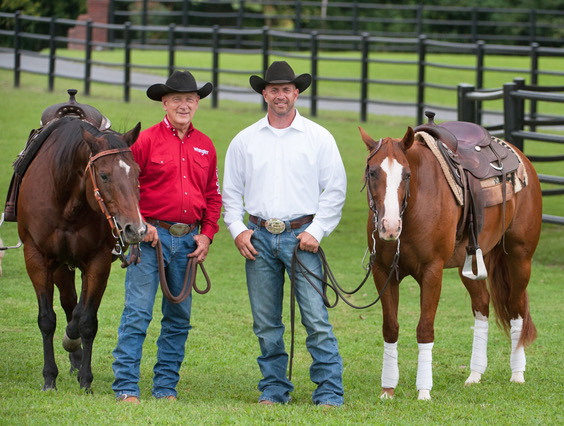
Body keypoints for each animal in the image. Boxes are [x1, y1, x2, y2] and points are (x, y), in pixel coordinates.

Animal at [18, 115, 148, 392]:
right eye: (104, 175)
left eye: (137, 173)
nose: (135, 228)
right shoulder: (37, 258)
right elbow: (47, 319)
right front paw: (49, 378)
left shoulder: (98, 262)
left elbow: (87, 321)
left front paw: (86, 380)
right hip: (59, 266)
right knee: (69, 301)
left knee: (77, 308)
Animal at [362, 123, 540, 400]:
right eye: (372, 173)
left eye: (406, 175)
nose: (389, 227)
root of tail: (520, 156)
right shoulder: (383, 271)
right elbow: (390, 327)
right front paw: (387, 390)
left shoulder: (432, 272)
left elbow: (425, 329)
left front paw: (424, 391)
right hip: (472, 262)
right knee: (482, 305)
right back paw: (475, 374)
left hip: (520, 258)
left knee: (516, 307)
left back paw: (517, 374)